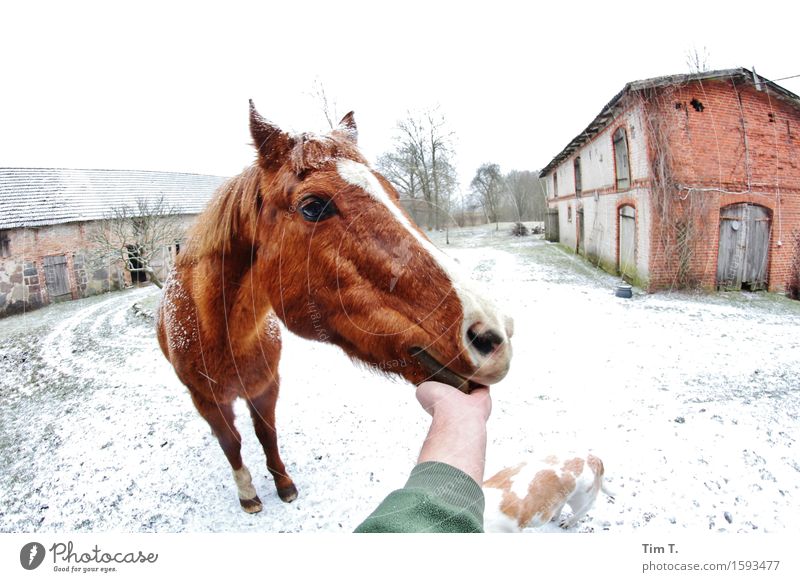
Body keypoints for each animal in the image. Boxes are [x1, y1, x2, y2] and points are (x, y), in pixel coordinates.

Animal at [156, 101, 512, 516]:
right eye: (313, 206)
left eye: (392, 193)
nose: (493, 336)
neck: (226, 334)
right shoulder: (208, 401)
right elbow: (232, 444)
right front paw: (248, 494)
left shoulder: (267, 387)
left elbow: (266, 434)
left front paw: (283, 483)